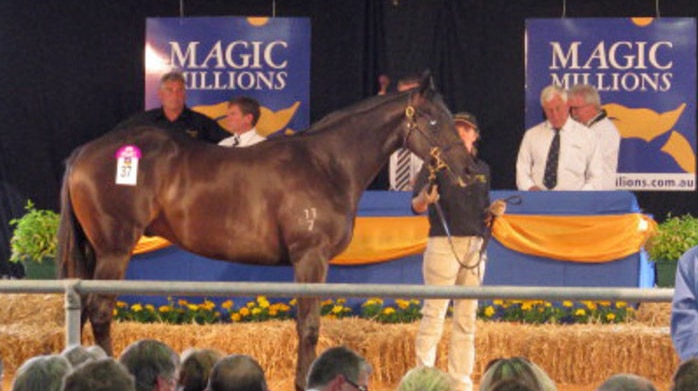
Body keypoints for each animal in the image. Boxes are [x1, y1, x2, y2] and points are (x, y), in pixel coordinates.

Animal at [57, 73, 470, 388]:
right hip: (115, 249)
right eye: (434, 120)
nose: (468, 167)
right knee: (100, 311)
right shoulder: (310, 258)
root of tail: (85, 152)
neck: (327, 163)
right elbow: (309, 326)